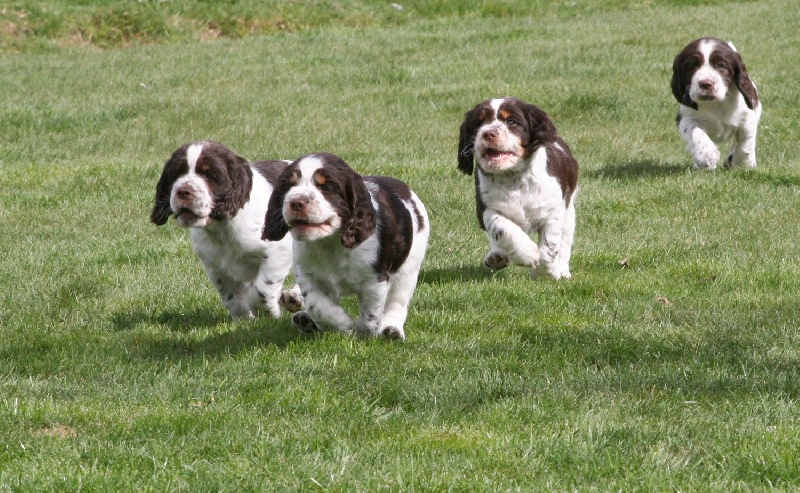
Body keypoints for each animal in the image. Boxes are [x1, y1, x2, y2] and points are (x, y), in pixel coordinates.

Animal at [149, 140, 300, 320]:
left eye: (209, 175)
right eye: (176, 174)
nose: (183, 191)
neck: (222, 229)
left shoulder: (278, 252)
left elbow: (261, 291)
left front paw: (268, 314)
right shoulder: (215, 266)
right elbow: (230, 297)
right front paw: (244, 319)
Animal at [262, 152, 428, 340]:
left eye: (326, 187)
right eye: (289, 185)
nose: (296, 202)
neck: (329, 242)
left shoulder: (374, 278)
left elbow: (370, 312)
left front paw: (365, 333)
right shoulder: (306, 274)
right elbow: (316, 304)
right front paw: (341, 324)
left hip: (408, 270)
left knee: (397, 303)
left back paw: (391, 330)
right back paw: (304, 318)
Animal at [460, 97, 580, 280]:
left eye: (511, 122)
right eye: (479, 123)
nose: (488, 133)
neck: (513, 177)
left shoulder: (553, 211)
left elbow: (549, 247)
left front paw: (545, 273)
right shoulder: (486, 208)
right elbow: (501, 227)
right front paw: (528, 254)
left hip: (569, 210)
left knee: (565, 242)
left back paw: (563, 271)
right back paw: (497, 256)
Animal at [668, 37, 764, 170]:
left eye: (720, 65)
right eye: (691, 65)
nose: (706, 83)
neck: (715, 104)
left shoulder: (748, 117)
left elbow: (745, 142)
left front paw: (745, 164)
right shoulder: (686, 118)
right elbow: (695, 132)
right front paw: (707, 155)